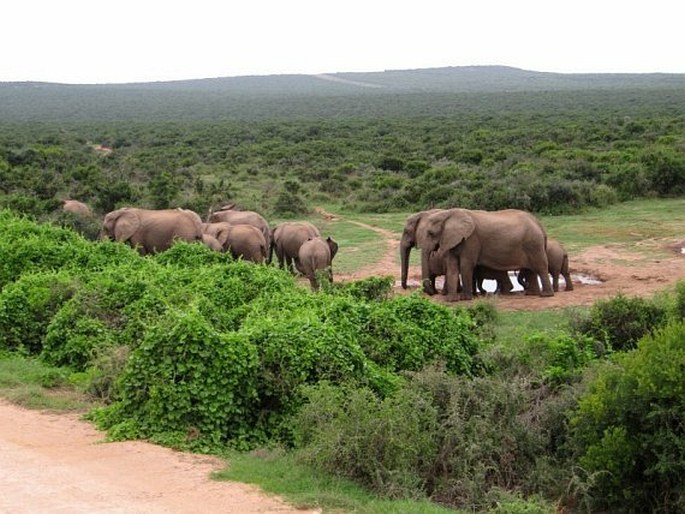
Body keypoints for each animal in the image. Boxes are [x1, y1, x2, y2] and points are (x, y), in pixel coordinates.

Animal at [414, 206, 552, 298]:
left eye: (430, 233)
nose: (432, 293)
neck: (448, 214)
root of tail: (539, 225)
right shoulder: (453, 239)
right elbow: (452, 266)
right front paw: (451, 299)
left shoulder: (471, 240)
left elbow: (466, 265)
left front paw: (465, 298)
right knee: (530, 270)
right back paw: (531, 294)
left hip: (533, 244)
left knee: (540, 267)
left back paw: (545, 295)